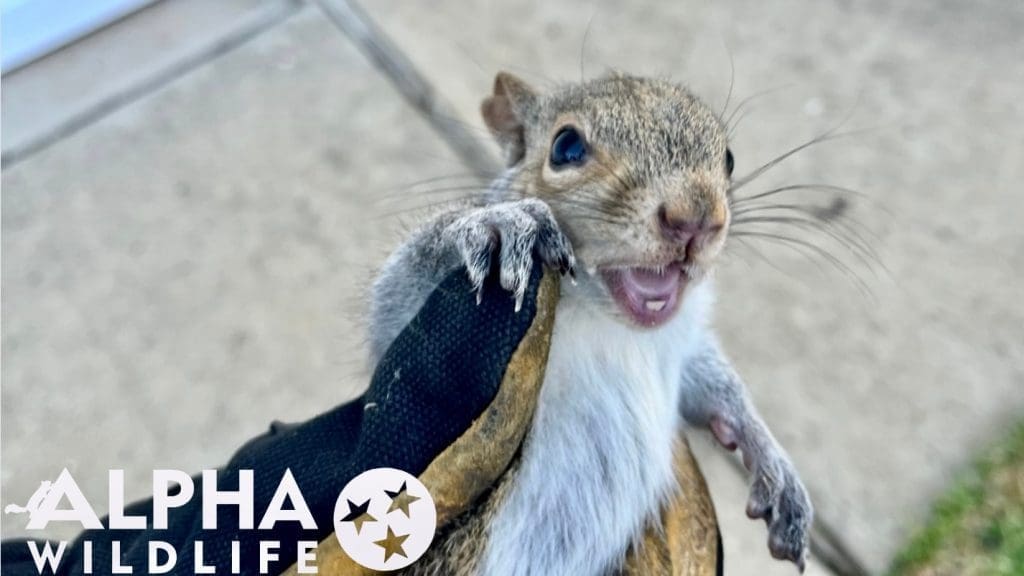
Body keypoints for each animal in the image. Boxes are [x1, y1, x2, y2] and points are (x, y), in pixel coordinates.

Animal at [368, 72, 813, 575]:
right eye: (566, 147)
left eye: (730, 159)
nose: (696, 218)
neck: (612, 323)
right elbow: (392, 307)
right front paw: (495, 222)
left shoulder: (682, 340)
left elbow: (714, 384)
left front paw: (772, 463)